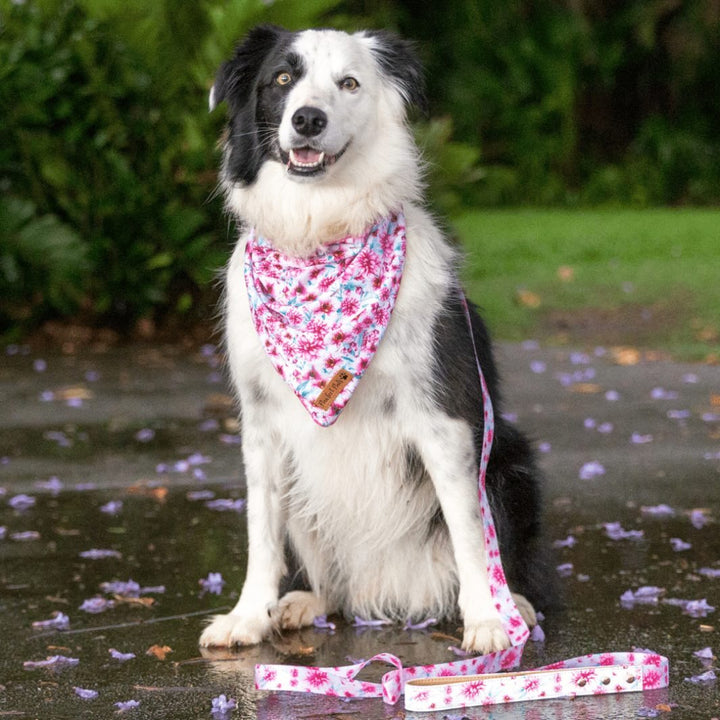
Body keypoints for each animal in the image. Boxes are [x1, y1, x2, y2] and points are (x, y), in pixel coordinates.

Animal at [200, 25, 548, 656]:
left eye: (349, 83)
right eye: (282, 79)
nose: (307, 119)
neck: (320, 237)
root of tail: (390, 592)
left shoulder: (443, 417)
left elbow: (468, 529)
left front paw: (489, 619)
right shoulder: (262, 427)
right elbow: (261, 533)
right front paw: (247, 616)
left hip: (511, 464)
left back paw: (519, 606)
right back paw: (306, 601)